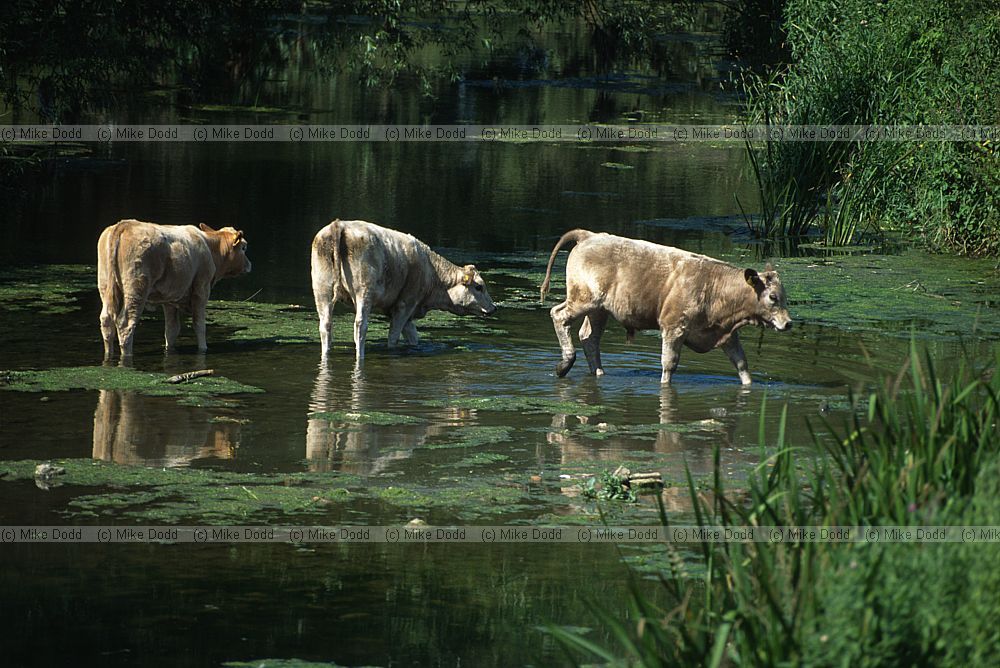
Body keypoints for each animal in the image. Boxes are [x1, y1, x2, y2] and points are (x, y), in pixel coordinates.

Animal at [97, 219, 251, 358]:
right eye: (244, 247)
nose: (249, 264)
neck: (210, 248)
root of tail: (124, 225)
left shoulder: (170, 298)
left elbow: (171, 330)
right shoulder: (201, 289)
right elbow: (199, 325)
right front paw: (203, 349)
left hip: (105, 285)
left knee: (106, 321)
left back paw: (108, 354)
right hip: (136, 289)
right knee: (126, 324)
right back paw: (127, 355)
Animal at [310, 219, 497, 361]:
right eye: (479, 287)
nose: (494, 308)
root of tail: (340, 224)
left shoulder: (406, 312)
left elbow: (413, 337)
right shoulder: (405, 304)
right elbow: (393, 336)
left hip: (322, 289)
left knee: (325, 326)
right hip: (363, 291)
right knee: (360, 326)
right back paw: (360, 356)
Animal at [539, 229, 792, 384]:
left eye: (784, 297)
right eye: (772, 297)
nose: (788, 323)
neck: (714, 287)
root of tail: (589, 235)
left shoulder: (727, 334)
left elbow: (741, 364)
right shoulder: (674, 327)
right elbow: (669, 364)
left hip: (599, 310)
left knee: (589, 337)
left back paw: (599, 373)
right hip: (584, 299)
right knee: (559, 315)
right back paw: (564, 364)